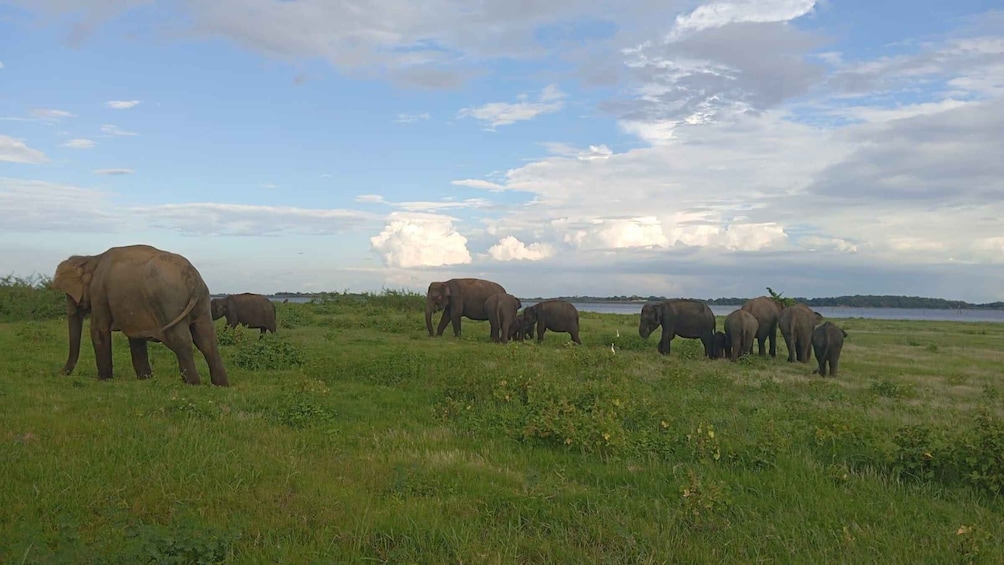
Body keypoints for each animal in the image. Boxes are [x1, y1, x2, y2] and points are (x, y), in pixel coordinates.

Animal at [51, 244, 229, 386]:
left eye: (69, 295)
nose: (60, 373)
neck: (92, 258)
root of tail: (194, 279)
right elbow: (135, 337)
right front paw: (145, 379)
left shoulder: (99, 292)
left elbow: (98, 330)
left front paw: (103, 380)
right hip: (202, 302)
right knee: (207, 339)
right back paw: (221, 385)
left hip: (169, 301)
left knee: (181, 339)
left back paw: (193, 384)